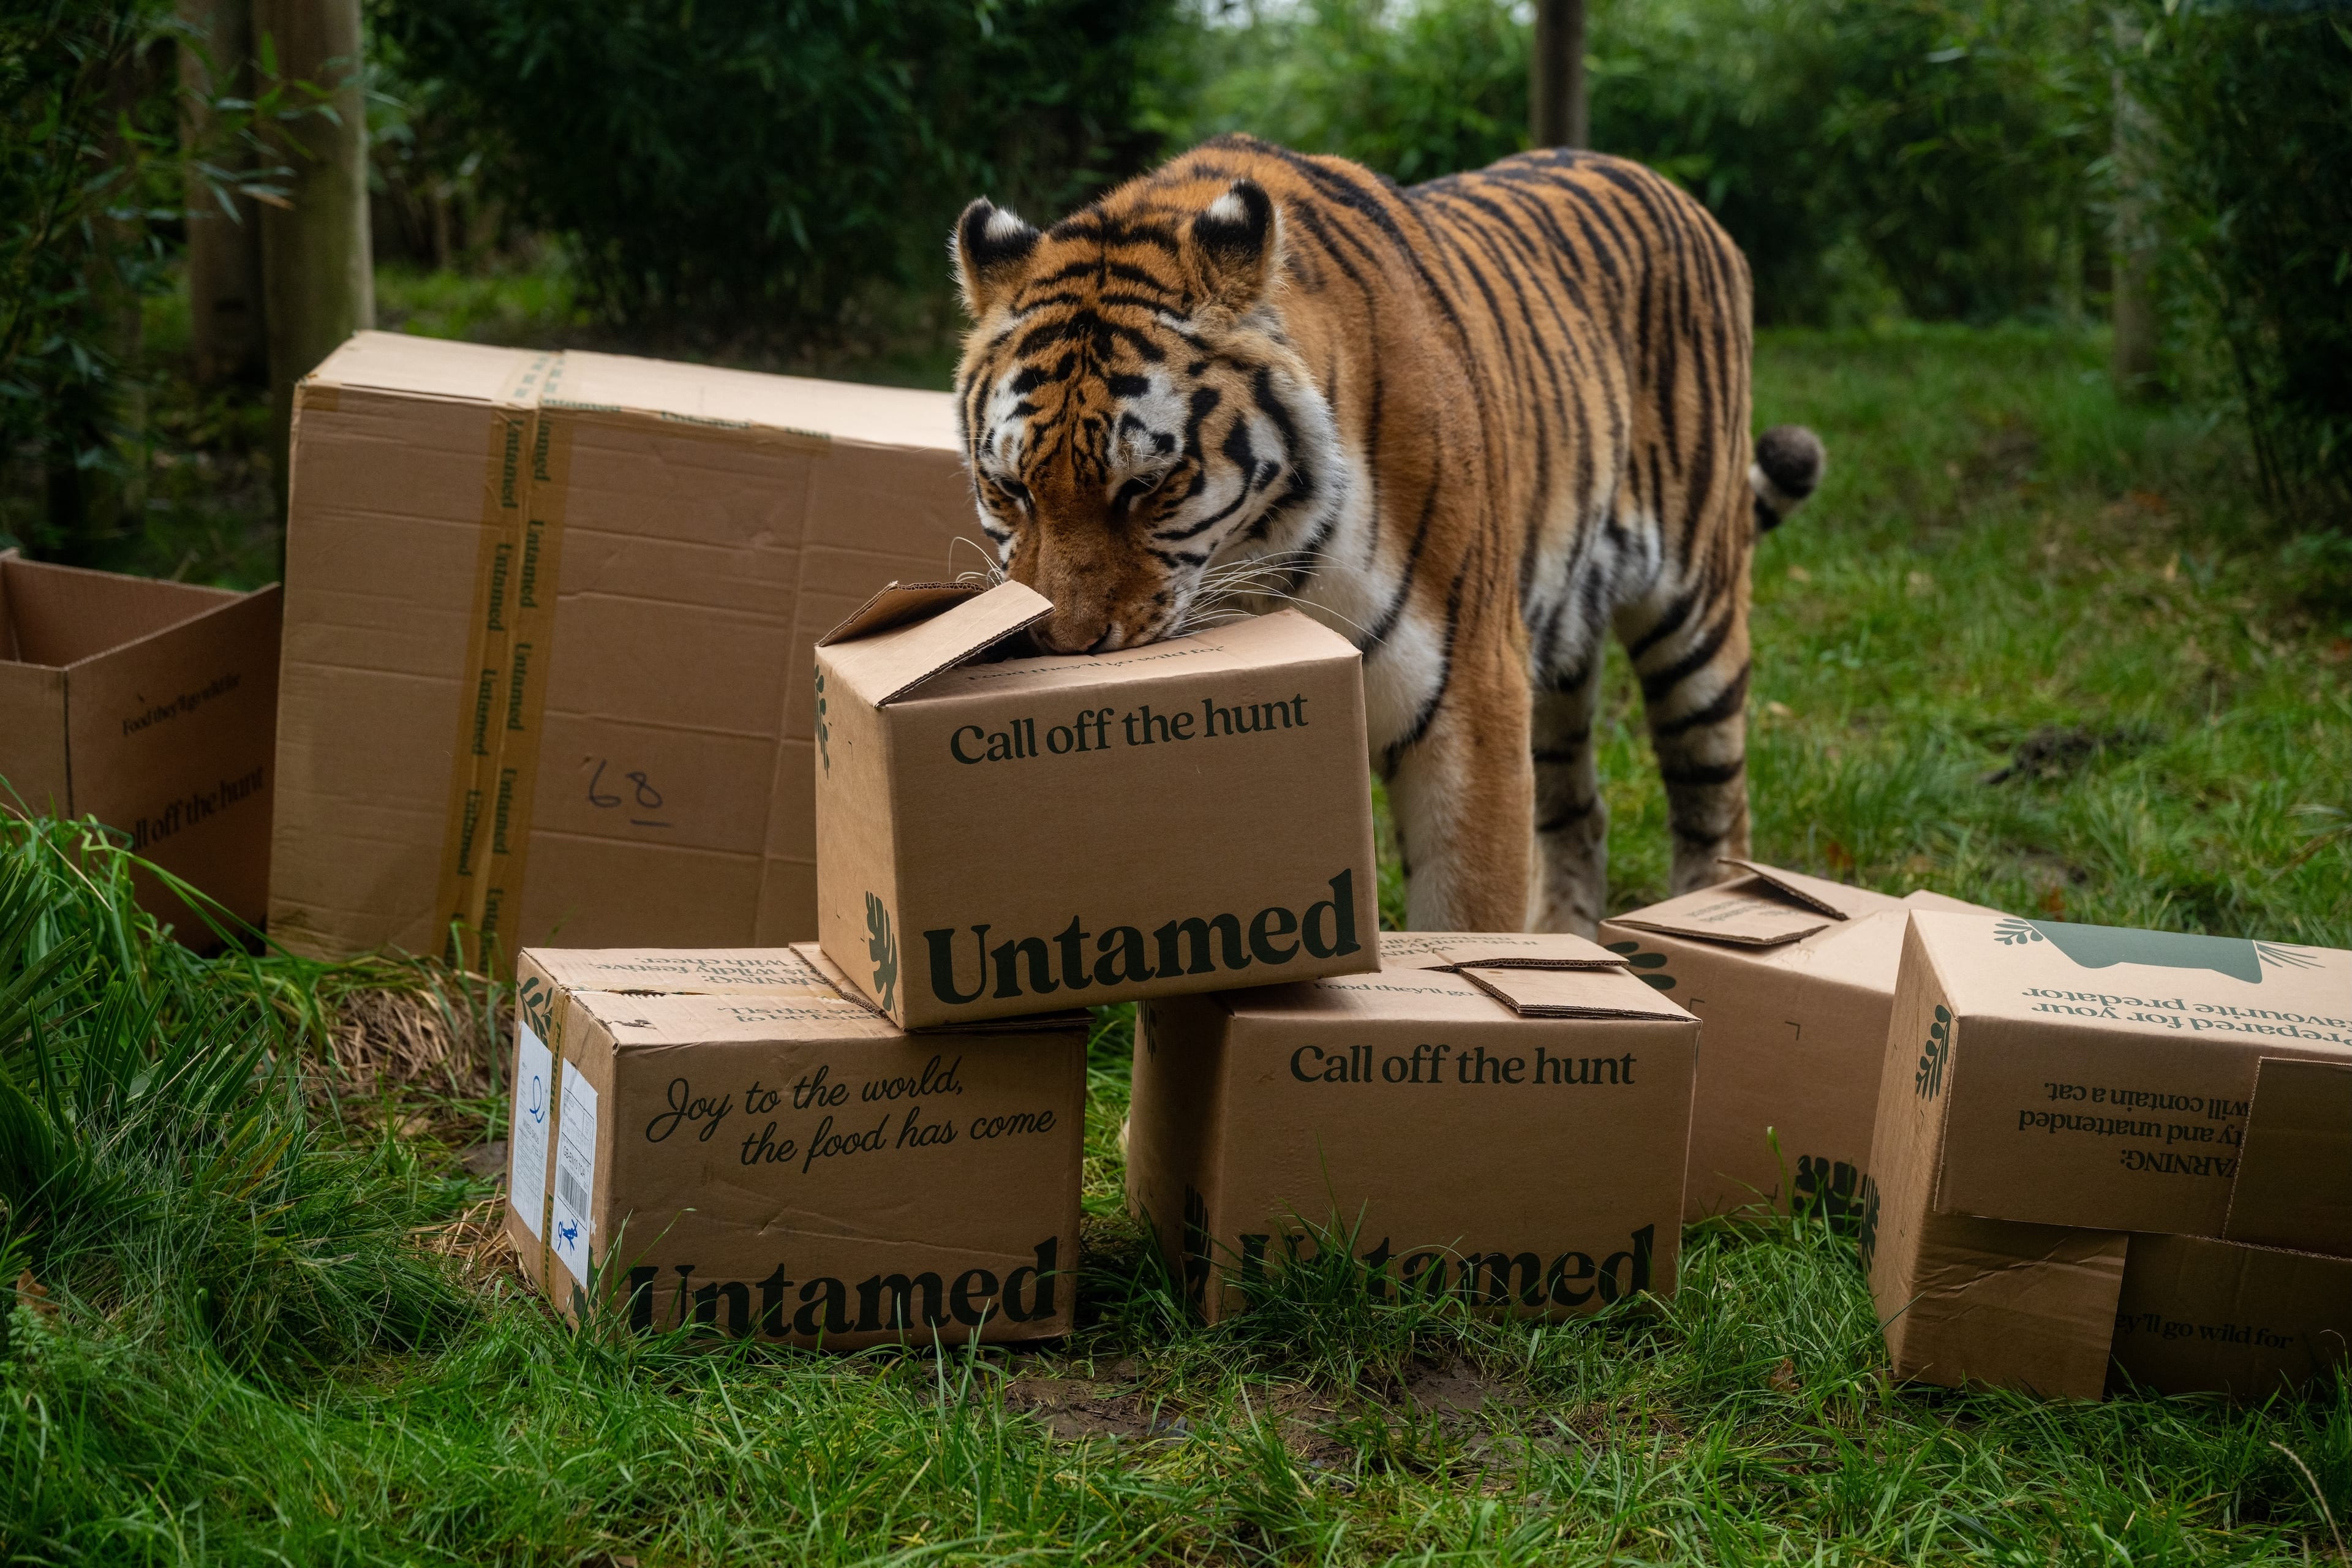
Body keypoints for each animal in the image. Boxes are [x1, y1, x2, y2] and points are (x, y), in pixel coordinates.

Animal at [950, 134, 1824, 936]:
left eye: (1147, 487)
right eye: (1011, 488)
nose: (1062, 647)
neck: (1264, 560)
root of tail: (1667, 187)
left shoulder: (1473, 701)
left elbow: (1472, 921)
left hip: (1696, 621)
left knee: (1717, 813)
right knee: (1579, 812)